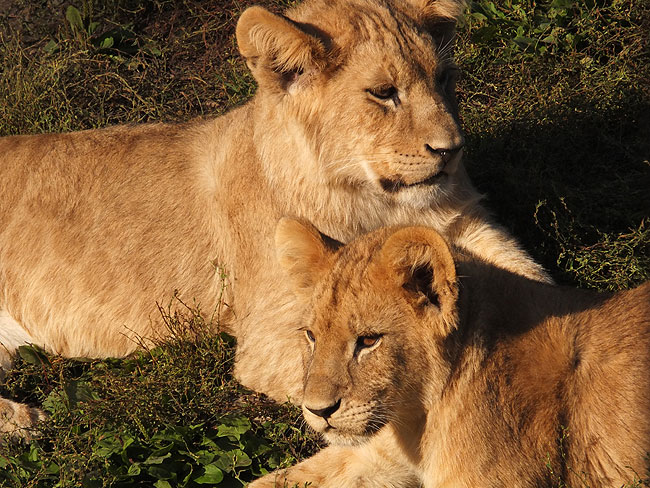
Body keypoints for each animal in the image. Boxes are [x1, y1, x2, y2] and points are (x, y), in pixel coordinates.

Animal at [0, 0, 548, 434]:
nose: (452, 150)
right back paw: (25, 420)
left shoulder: (468, 228)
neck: (373, 198)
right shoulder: (269, 337)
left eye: (443, 79)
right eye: (383, 93)